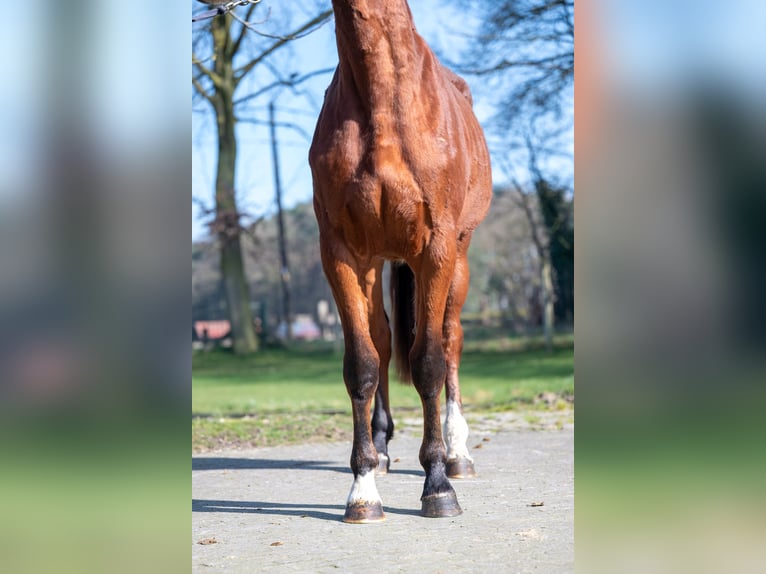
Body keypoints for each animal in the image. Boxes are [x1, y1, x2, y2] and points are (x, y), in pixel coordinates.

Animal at [308, 0, 492, 524]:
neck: (384, 101)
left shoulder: (436, 248)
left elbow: (429, 361)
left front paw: (437, 486)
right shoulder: (343, 253)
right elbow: (363, 363)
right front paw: (363, 488)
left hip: (459, 260)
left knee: (450, 340)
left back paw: (458, 454)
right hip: (379, 263)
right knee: (385, 341)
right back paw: (384, 448)